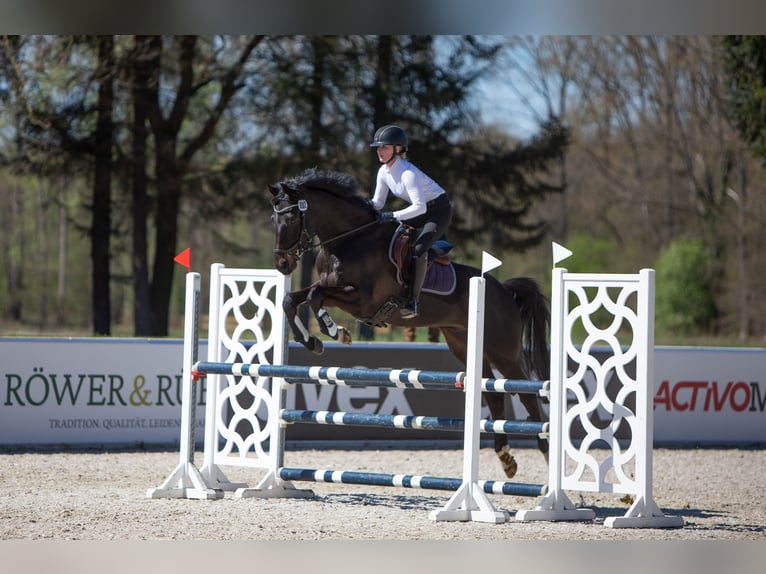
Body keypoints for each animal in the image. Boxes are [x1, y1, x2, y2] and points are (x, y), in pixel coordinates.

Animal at [268, 168, 550, 478]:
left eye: (292, 218)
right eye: (274, 219)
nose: (282, 264)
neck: (347, 242)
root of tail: (504, 291)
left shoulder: (363, 302)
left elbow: (316, 296)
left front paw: (336, 332)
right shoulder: (332, 289)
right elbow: (292, 300)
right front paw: (312, 341)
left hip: (503, 352)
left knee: (527, 394)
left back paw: (545, 448)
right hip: (464, 347)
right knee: (495, 397)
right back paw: (506, 459)